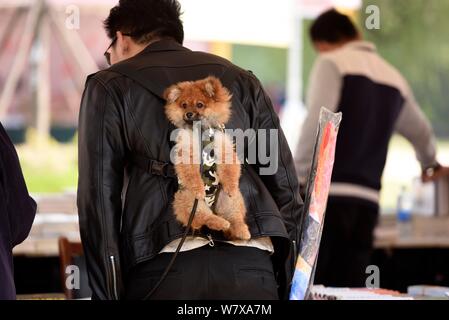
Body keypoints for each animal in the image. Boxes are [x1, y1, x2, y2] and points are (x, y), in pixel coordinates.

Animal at [164, 75, 250, 240]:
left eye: (199, 105)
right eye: (184, 105)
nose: (188, 114)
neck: (201, 130)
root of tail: (212, 206)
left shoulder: (223, 147)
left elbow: (229, 169)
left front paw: (231, 186)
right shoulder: (187, 152)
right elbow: (191, 174)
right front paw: (199, 189)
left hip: (230, 201)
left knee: (234, 216)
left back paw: (241, 230)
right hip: (189, 202)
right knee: (205, 218)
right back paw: (220, 222)